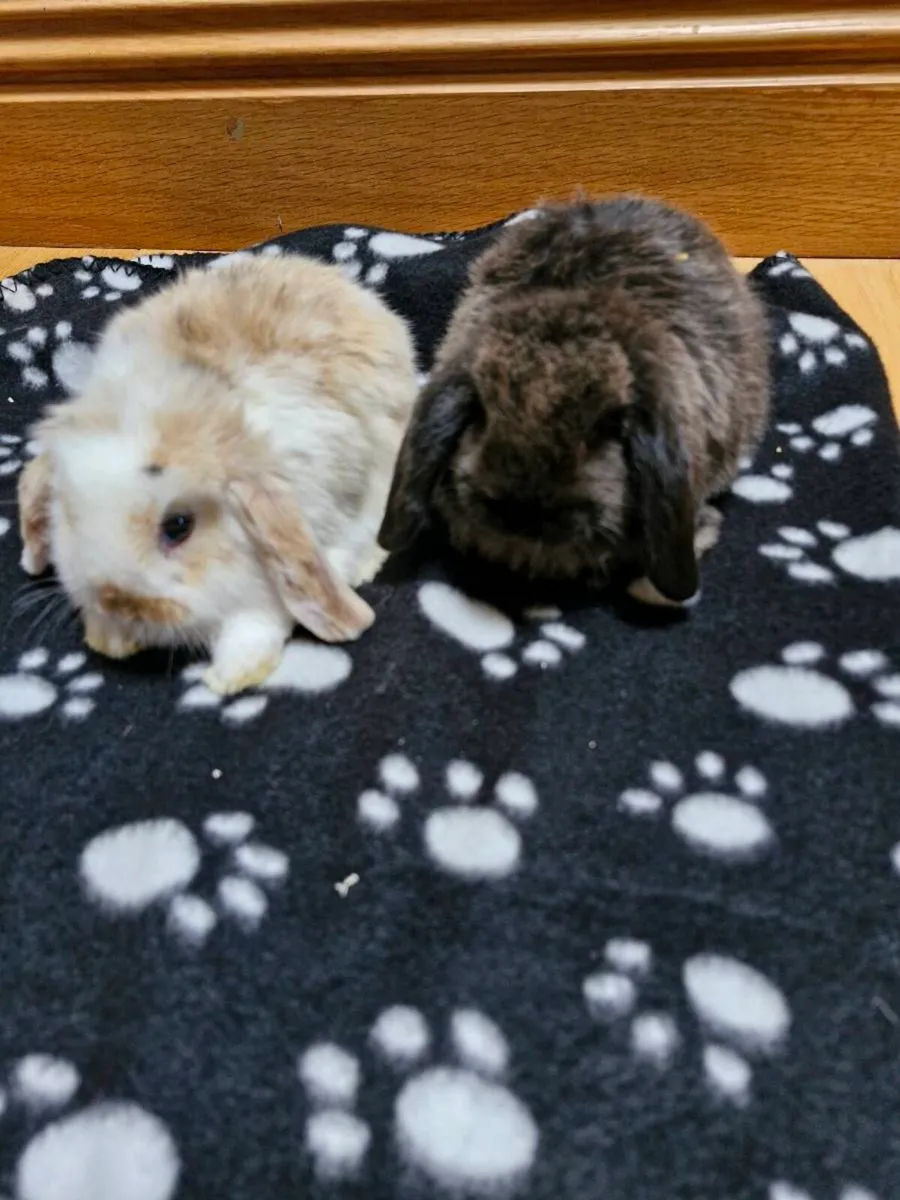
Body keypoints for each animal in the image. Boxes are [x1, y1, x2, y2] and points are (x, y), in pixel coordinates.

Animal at [18, 253, 418, 694]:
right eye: (70, 515)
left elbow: (255, 629)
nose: (114, 599)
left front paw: (228, 679)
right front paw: (110, 640)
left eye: (179, 525)